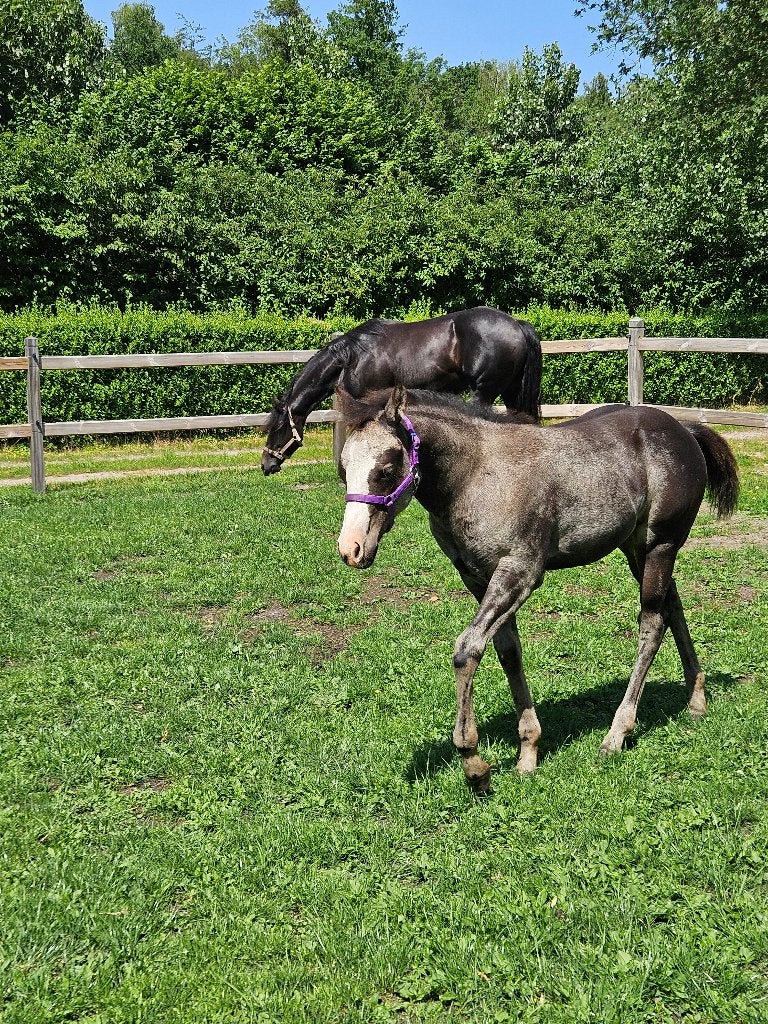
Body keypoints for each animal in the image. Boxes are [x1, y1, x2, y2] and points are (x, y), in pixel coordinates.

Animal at [260, 307, 542, 474]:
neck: (352, 358)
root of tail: (516, 324)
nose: (266, 464)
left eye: (277, 428)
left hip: (483, 392)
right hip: (511, 392)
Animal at [335, 387, 739, 793]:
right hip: (635, 549)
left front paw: (475, 765)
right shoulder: (477, 579)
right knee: (674, 606)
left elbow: (467, 649)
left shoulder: (521, 572)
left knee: (653, 623)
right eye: (343, 470)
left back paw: (617, 733)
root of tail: (684, 429)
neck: (475, 475)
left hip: (661, 545)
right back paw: (696, 701)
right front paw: (528, 752)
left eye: (386, 470)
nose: (350, 549)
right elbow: (508, 652)